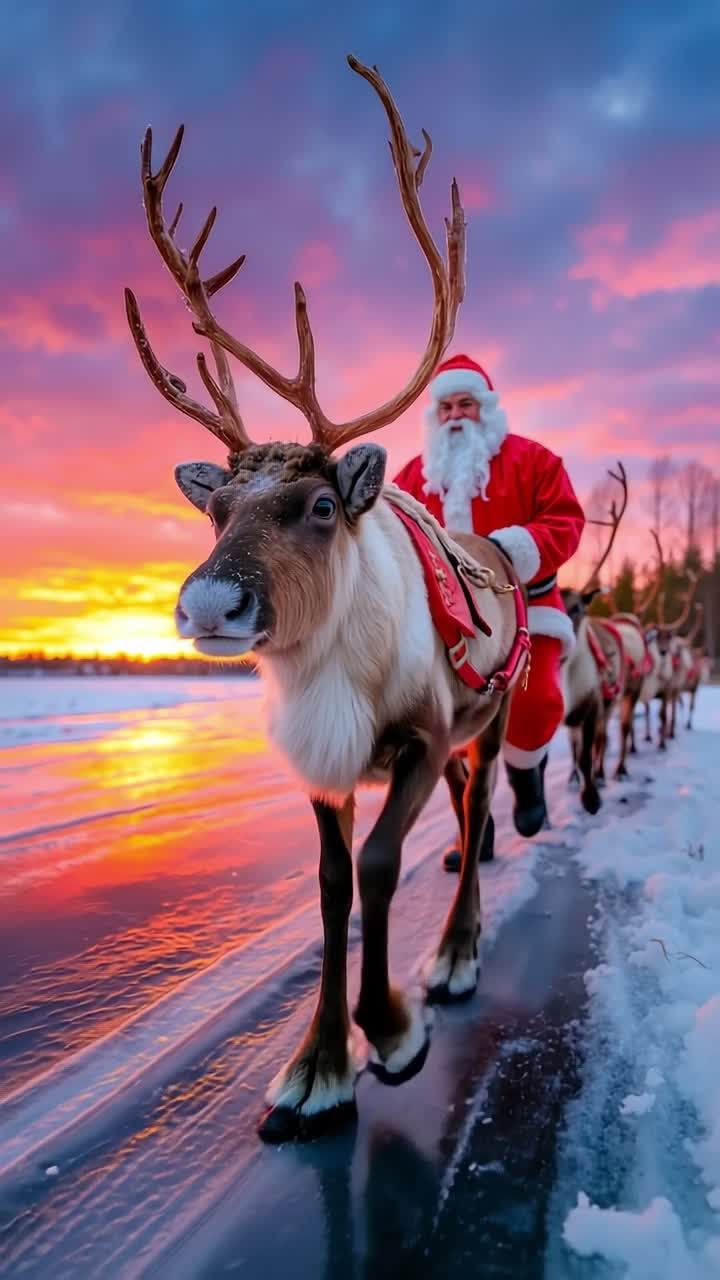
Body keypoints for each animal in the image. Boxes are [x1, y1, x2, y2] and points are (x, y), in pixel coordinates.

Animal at [124, 55, 533, 1143]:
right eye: (214, 508)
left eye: (316, 505)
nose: (207, 603)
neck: (337, 673)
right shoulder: (321, 764)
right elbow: (330, 884)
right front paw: (316, 1067)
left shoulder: (420, 733)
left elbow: (385, 864)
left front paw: (389, 1030)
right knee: (465, 806)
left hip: (492, 711)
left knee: (479, 795)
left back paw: (457, 953)